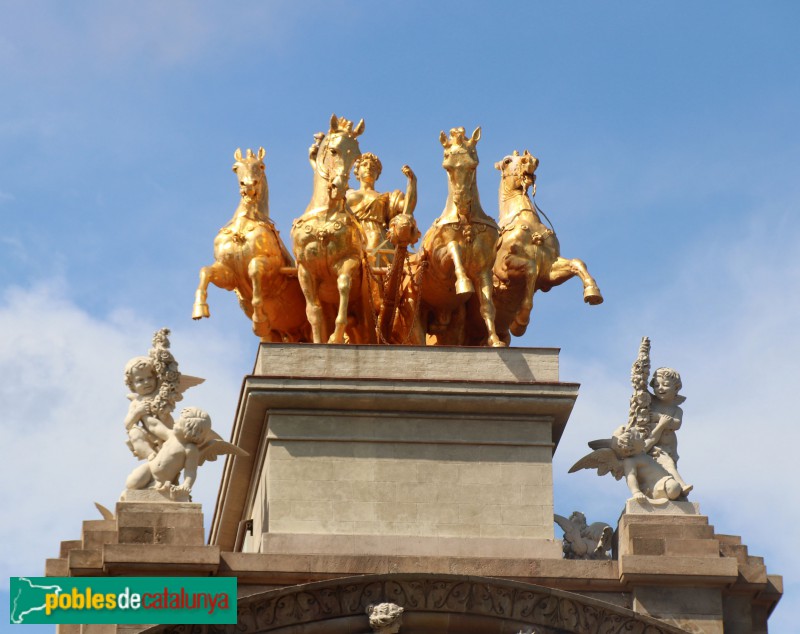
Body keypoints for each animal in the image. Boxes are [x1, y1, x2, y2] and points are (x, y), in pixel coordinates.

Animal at [290, 113, 376, 340]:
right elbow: (313, 312)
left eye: (356, 156)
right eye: (333, 151)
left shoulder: (349, 260)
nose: (340, 187)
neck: (325, 215)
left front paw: (335, 336)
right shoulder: (305, 270)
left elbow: (343, 285)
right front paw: (320, 340)